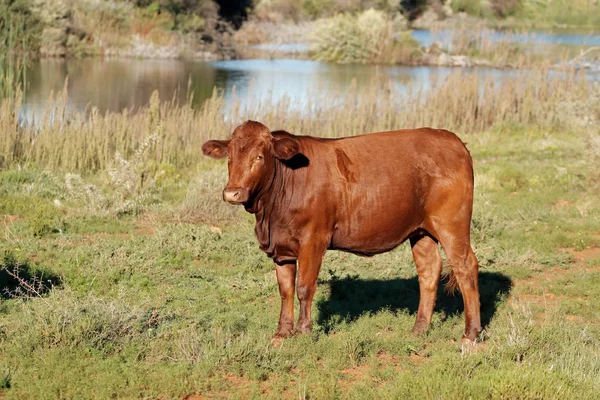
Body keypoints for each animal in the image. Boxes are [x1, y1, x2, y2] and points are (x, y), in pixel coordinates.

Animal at [204, 119, 480, 346]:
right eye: (230, 156)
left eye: (259, 157)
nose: (233, 193)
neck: (270, 215)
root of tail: (453, 140)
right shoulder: (281, 248)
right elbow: (285, 289)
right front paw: (282, 332)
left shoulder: (313, 240)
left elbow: (304, 287)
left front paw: (303, 331)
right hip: (421, 230)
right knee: (429, 271)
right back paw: (419, 329)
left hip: (451, 224)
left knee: (465, 267)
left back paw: (470, 334)